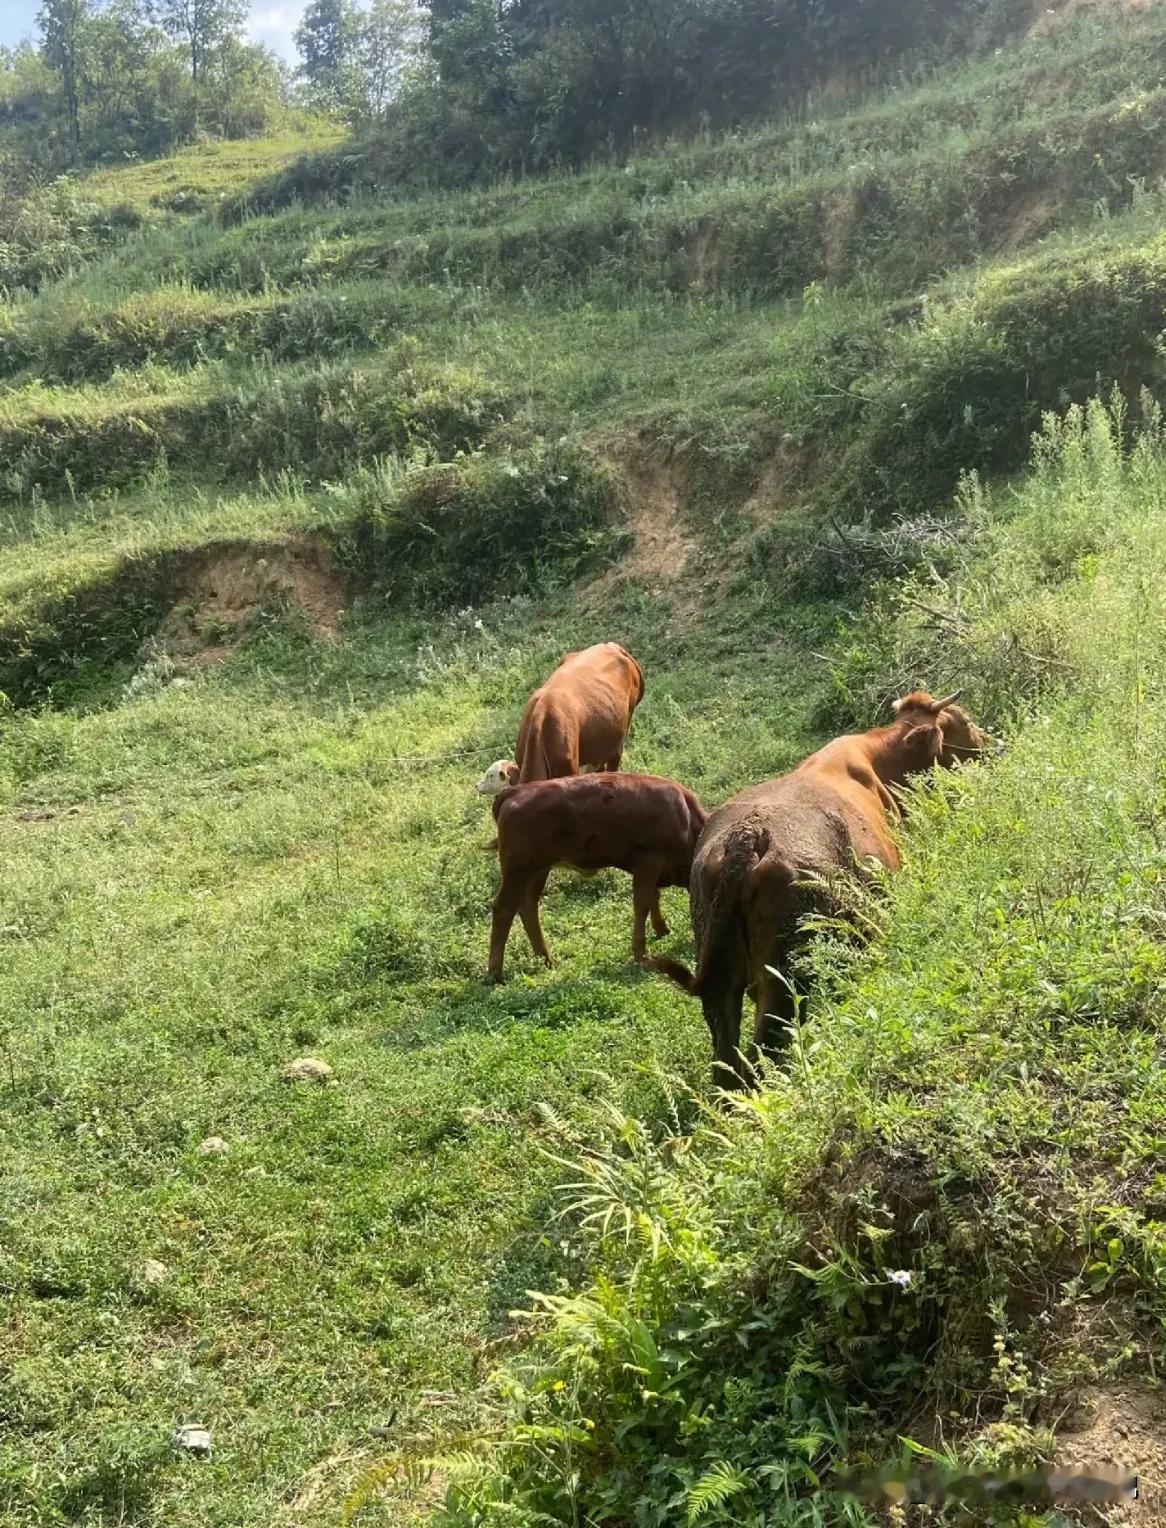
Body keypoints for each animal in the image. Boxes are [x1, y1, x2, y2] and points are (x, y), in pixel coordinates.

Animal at [489, 770, 706, 984]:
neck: (685, 819)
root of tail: (515, 791)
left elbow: (653, 898)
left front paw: (662, 929)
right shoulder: (648, 864)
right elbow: (642, 904)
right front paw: (641, 953)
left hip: (538, 870)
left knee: (528, 907)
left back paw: (545, 958)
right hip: (517, 871)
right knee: (504, 909)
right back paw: (495, 972)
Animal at [651, 693, 990, 1087]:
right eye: (963, 721)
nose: (990, 742)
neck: (877, 763)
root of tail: (749, 834)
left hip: (721, 980)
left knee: (727, 1061)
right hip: (786, 984)